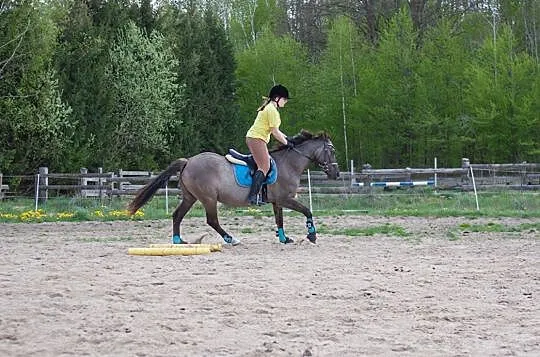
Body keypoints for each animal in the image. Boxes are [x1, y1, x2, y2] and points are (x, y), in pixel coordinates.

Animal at [128, 130, 340, 245]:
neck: (289, 164)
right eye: (332, 151)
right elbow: (307, 210)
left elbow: (279, 219)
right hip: (208, 198)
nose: (336, 174)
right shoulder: (285, 199)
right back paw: (231, 239)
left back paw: (178, 241)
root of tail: (188, 161)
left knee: (177, 215)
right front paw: (312, 234)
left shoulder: (277, 201)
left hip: (190, 197)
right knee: (212, 220)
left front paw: (284, 239)